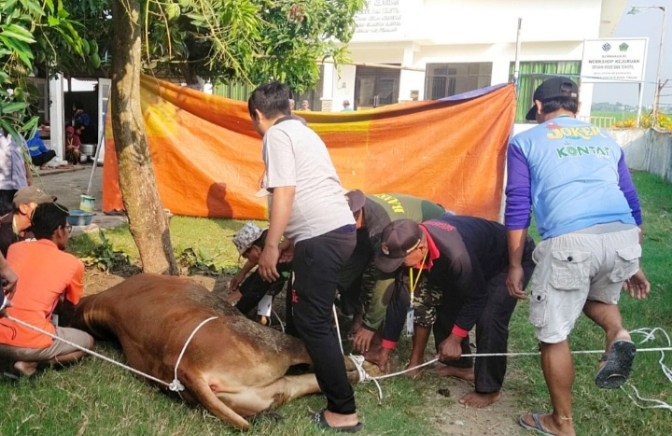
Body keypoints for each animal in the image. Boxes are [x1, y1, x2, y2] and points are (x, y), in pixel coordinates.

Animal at [72, 274, 378, 430]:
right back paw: (367, 366)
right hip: (275, 344)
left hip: (272, 388)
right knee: (323, 359)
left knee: (309, 380)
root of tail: (187, 368)